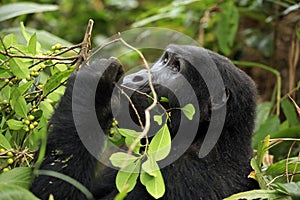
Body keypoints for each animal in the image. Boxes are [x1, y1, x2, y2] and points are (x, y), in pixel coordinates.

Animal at [30, 44, 258, 199]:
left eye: (176, 68)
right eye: (165, 60)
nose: (138, 76)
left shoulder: (179, 173)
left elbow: (50, 192)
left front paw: (93, 85)